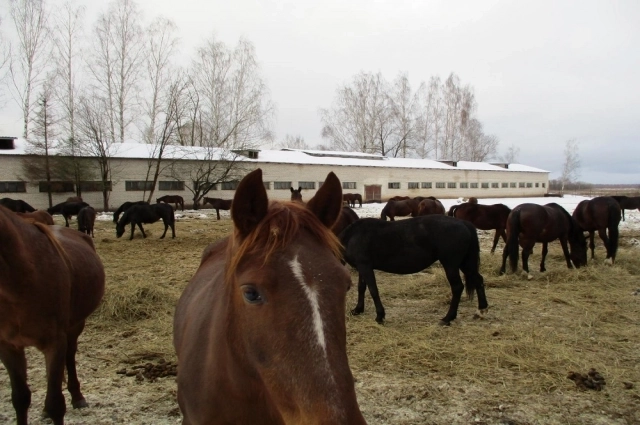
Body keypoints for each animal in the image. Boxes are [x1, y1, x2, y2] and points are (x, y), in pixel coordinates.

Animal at [0, 204, 105, 422]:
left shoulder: (54, 342)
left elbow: (57, 403)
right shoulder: (8, 346)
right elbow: (20, 398)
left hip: (75, 325)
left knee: (70, 355)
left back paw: (77, 397)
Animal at [342, 215, 488, 324]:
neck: (353, 235)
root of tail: (464, 223)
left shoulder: (365, 266)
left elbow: (373, 290)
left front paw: (380, 316)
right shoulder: (362, 267)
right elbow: (361, 288)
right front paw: (357, 310)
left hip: (451, 265)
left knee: (457, 287)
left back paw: (447, 318)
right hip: (465, 263)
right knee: (478, 280)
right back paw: (481, 311)